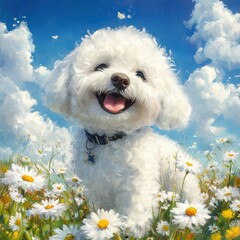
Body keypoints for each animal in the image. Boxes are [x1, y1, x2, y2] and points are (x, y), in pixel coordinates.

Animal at [44, 27, 201, 237]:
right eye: (101, 66)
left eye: (140, 74)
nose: (120, 79)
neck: (111, 138)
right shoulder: (96, 185)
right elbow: (101, 209)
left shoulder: (138, 182)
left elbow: (136, 207)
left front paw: (132, 229)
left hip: (183, 183)